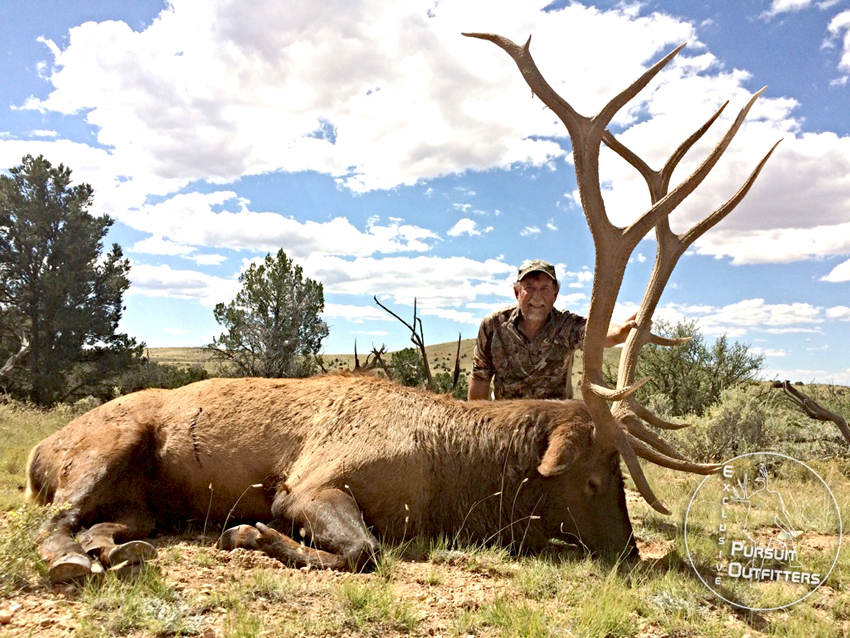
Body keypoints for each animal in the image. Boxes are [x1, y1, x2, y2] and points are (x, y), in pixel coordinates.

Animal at [24, 376, 636, 584]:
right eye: (593, 481)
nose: (629, 550)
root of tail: (35, 452)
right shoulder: (307, 484)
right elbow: (365, 550)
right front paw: (247, 534)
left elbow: (362, 549)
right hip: (111, 441)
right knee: (52, 519)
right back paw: (73, 560)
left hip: (141, 507)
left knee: (106, 523)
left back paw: (111, 550)